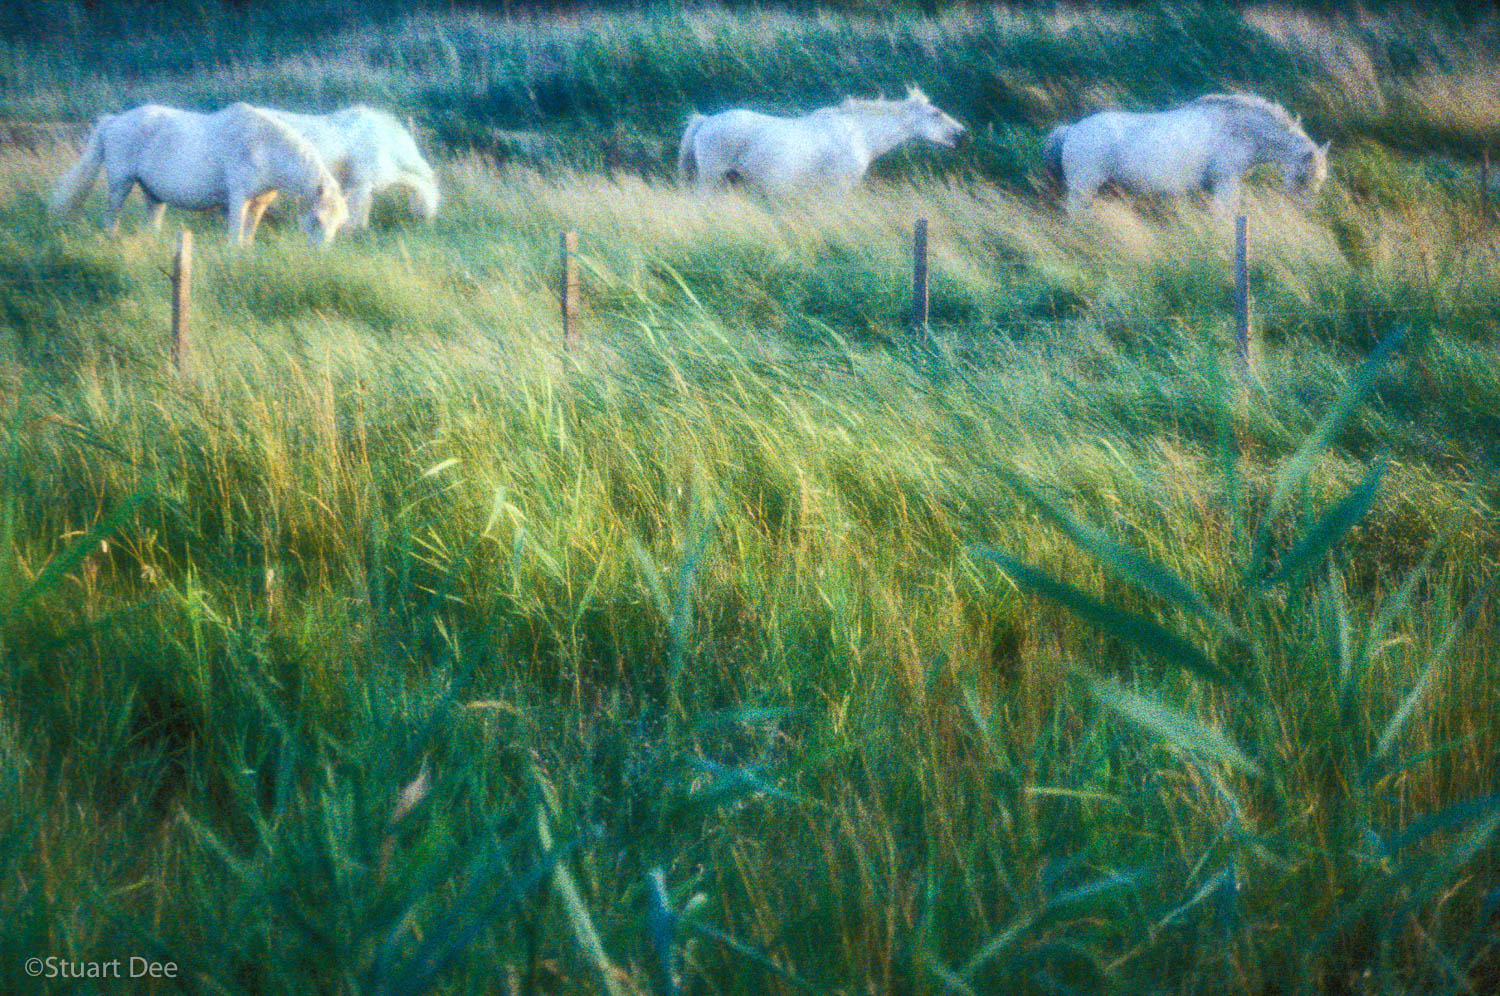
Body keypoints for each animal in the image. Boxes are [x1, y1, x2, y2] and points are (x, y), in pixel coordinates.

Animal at [49, 102, 348, 247]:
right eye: (318, 220)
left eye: (339, 225)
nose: (319, 255)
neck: (264, 148)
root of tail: (114, 121)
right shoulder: (238, 200)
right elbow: (235, 236)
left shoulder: (259, 205)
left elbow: (248, 237)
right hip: (120, 185)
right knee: (111, 217)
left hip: (154, 196)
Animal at [678, 87, 966, 196]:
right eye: (936, 114)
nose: (962, 135)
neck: (859, 133)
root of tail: (706, 121)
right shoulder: (838, 187)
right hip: (711, 178)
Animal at [1044, 93, 1326, 214]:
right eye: (1303, 178)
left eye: (1319, 183)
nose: (1303, 213)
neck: (1238, 128)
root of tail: (1072, 130)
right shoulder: (1225, 183)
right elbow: (1224, 215)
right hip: (1082, 188)